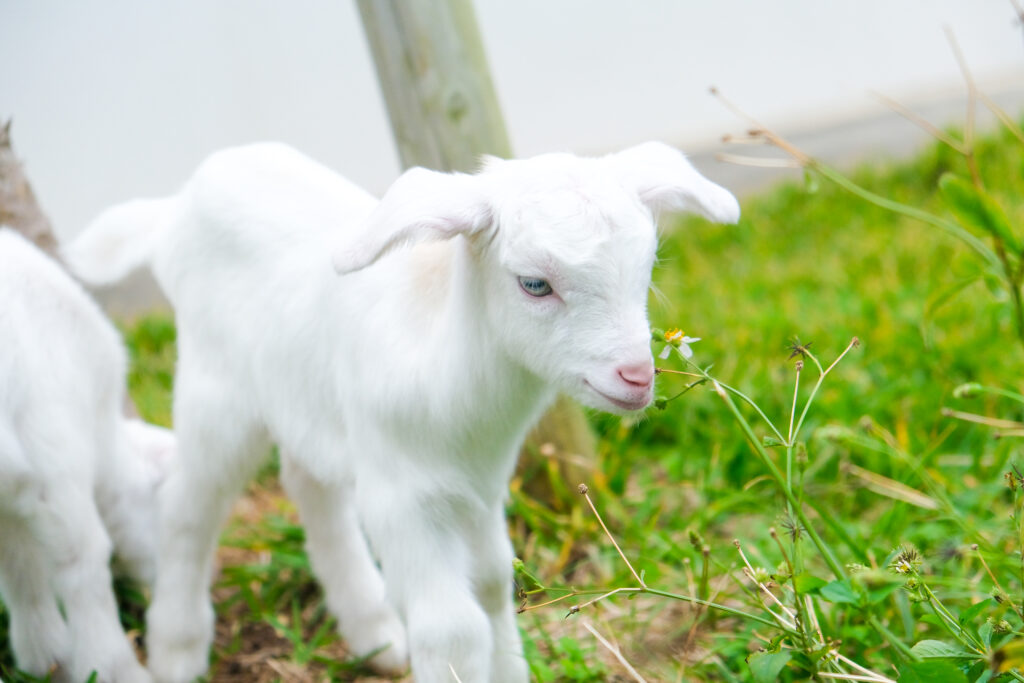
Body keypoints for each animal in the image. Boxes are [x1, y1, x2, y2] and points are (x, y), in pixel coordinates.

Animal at [66, 140, 737, 683]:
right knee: (187, 507)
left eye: (645, 268)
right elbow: (453, 627)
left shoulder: (481, 489)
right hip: (217, 391)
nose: (637, 378)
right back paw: (177, 653)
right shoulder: (402, 498)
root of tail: (175, 207)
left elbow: (493, 586)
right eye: (534, 284)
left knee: (309, 486)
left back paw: (376, 636)